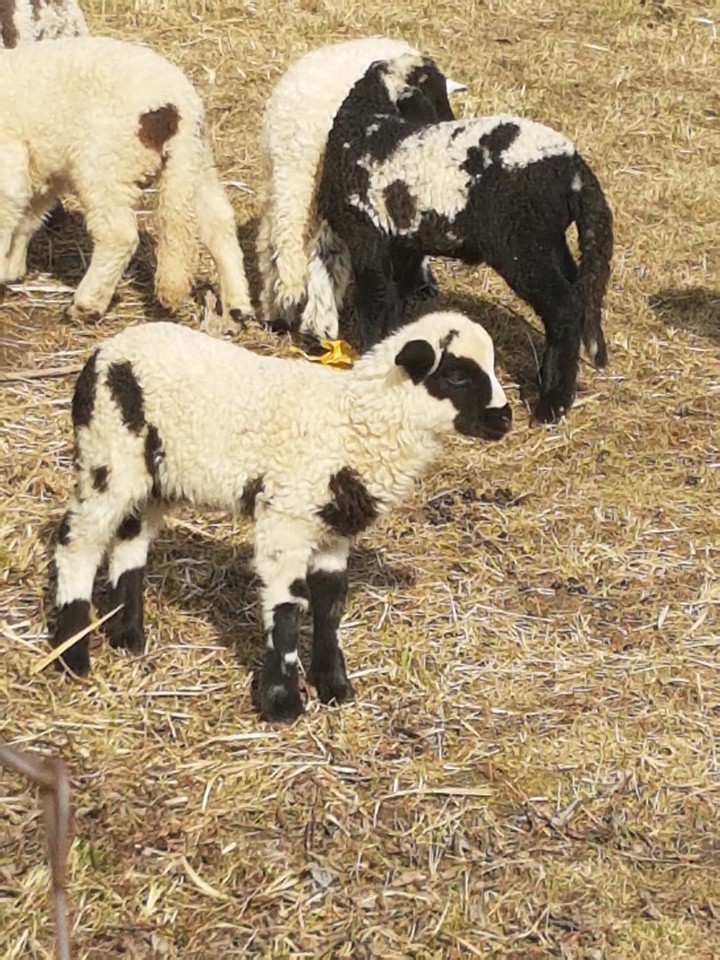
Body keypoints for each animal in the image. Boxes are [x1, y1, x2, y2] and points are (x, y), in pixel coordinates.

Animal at [0, 36, 253, 333]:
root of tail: (177, 106)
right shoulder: (41, 169)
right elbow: (27, 219)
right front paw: (11, 269)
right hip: (195, 158)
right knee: (217, 221)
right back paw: (236, 308)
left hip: (106, 162)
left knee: (118, 234)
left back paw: (86, 306)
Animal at [50, 310, 512, 722]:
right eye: (456, 376)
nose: (504, 419)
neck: (355, 423)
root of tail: (103, 352)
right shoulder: (286, 517)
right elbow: (288, 607)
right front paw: (282, 703)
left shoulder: (332, 530)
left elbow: (330, 604)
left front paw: (335, 686)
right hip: (108, 451)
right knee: (77, 540)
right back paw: (71, 654)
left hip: (153, 475)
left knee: (130, 541)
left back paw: (126, 634)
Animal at [256, 37, 462, 342]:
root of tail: (297, 138)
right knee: (327, 255)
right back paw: (320, 327)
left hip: (283, 188)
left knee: (274, 248)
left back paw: (279, 315)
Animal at [317, 55, 614, 423]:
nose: (448, 120)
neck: (366, 124)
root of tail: (573, 169)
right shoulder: (402, 242)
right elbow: (395, 296)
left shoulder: (366, 234)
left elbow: (375, 297)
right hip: (548, 240)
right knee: (577, 288)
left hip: (521, 243)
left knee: (565, 308)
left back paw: (552, 403)